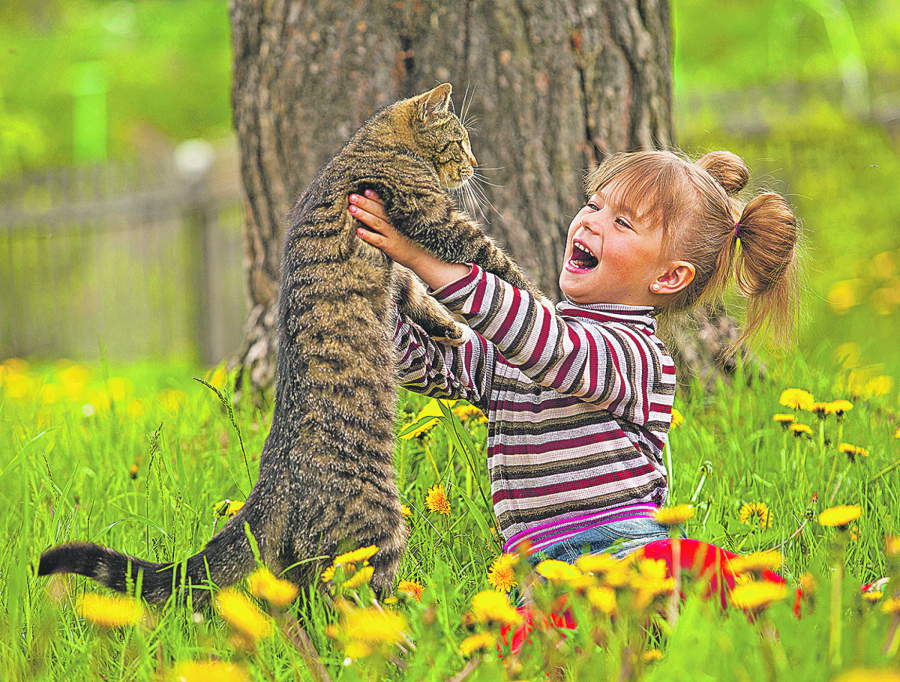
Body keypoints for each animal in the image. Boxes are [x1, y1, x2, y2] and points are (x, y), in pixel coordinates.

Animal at [38, 83, 540, 600]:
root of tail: (269, 487)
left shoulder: (400, 265)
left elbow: (417, 293)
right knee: (351, 601)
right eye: (460, 142)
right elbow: (493, 261)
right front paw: (538, 299)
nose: (474, 164)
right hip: (376, 528)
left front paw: (450, 326)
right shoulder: (434, 218)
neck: (376, 147)